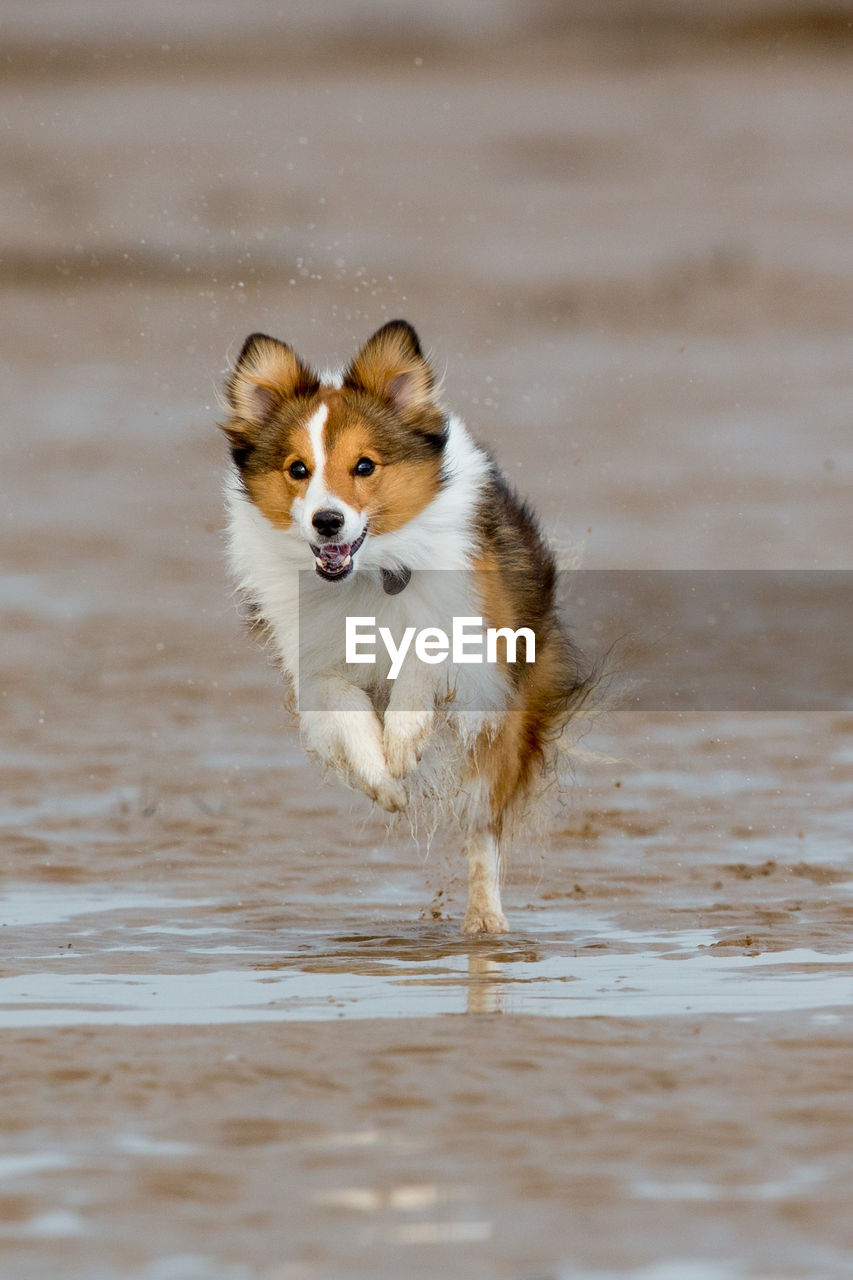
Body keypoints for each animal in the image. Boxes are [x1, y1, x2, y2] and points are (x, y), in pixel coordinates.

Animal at [220, 318, 591, 936]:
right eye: (298, 469)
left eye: (364, 465)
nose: (327, 522)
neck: (368, 576)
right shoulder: (315, 664)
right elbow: (344, 704)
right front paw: (382, 774)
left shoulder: (477, 646)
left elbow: (424, 654)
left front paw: (402, 739)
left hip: (503, 729)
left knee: (481, 827)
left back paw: (485, 921)